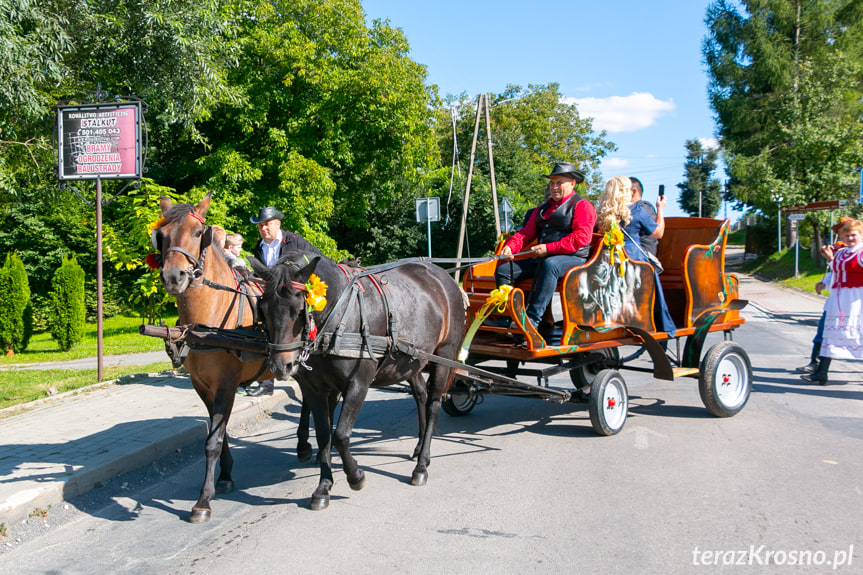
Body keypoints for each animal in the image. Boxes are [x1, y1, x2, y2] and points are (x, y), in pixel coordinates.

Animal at [152, 192, 276, 520]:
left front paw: (203, 501)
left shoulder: (226, 385)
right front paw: (225, 476)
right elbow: (219, 433)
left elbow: (212, 441)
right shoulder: (203, 386)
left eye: (198, 233)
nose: (173, 277)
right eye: (162, 235)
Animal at [250, 251, 466, 508]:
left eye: (300, 309)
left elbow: (341, 435)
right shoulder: (315, 389)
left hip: (444, 356)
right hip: (412, 362)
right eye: (263, 308)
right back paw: (419, 446)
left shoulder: (358, 384)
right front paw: (323, 487)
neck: (338, 313)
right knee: (421, 396)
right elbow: (324, 435)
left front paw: (355, 476)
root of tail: (444, 277)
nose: (281, 365)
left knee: (434, 405)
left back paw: (421, 465)